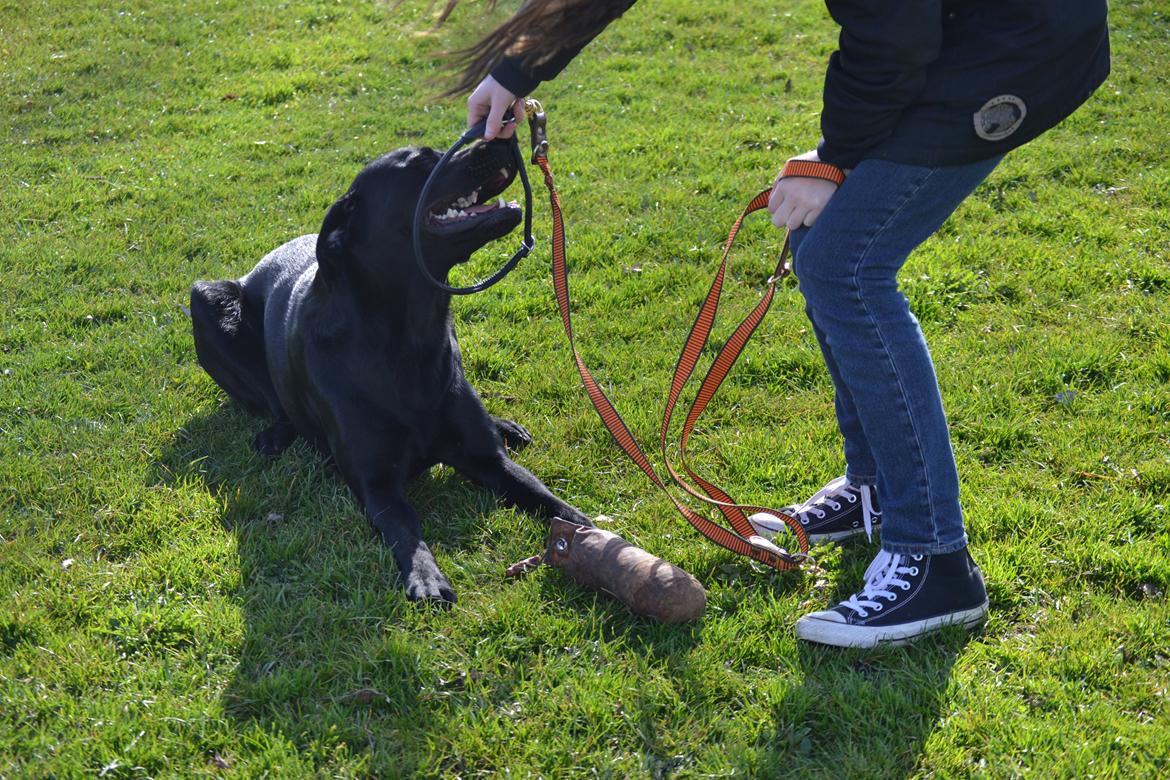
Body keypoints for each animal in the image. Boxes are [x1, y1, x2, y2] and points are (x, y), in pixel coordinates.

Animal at [195, 140, 594, 603]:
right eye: (422, 162)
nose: (504, 139)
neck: (408, 337)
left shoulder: (488, 459)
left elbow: (546, 497)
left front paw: (590, 533)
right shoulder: (377, 485)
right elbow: (406, 527)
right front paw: (426, 577)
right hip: (206, 299)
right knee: (274, 401)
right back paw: (276, 433)